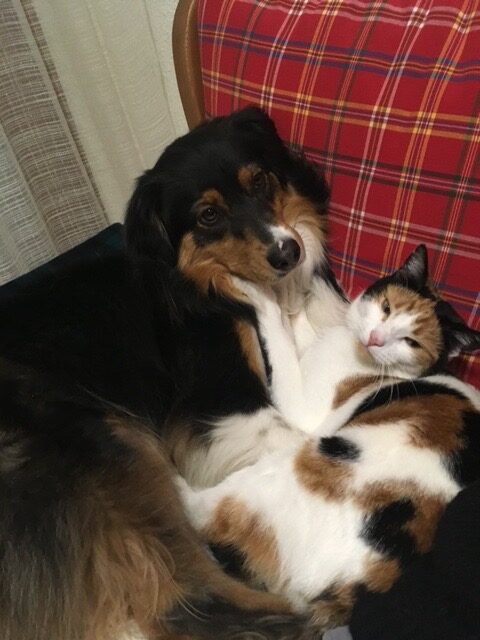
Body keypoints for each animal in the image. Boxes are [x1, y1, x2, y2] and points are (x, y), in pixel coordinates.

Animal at [0, 107, 343, 640]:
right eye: (208, 215)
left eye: (260, 179)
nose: (289, 253)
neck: (201, 284)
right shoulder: (217, 401)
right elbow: (296, 436)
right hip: (104, 439)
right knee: (183, 599)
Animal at [176, 245, 480, 632]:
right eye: (386, 307)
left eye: (411, 341)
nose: (375, 339)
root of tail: (348, 593)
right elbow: (300, 330)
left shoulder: (303, 409)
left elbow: (280, 339)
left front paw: (261, 293)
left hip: (283, 470)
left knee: (195, 508)